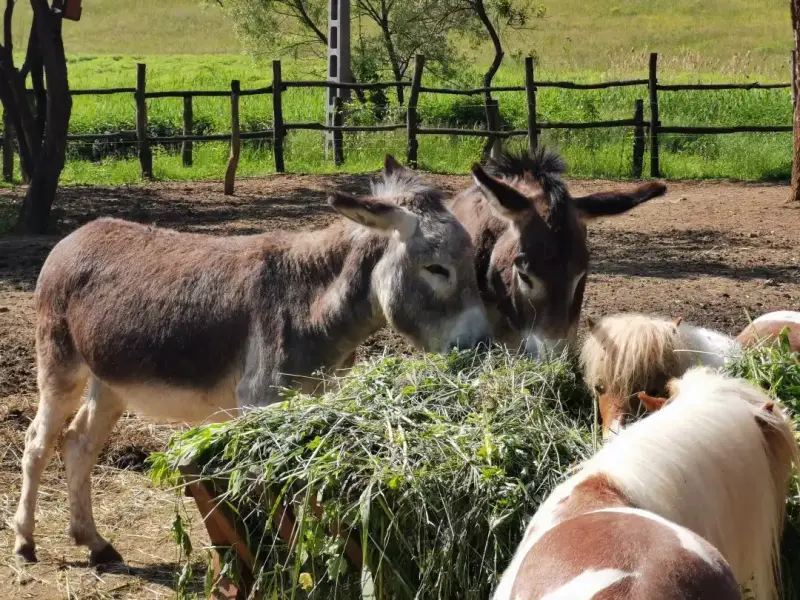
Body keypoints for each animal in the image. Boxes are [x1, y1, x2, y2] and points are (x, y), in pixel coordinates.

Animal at [12, 156, 494, 568]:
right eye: (437, 269)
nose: (481, 347)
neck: (309, 300)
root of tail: (74, 237)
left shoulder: (311, 399)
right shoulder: (260, 404)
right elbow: (266, 489)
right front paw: (271, 559)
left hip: (111, 380)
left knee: (79, 443)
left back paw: (94, 543)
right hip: (61, 366)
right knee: (38, 442)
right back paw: (25, 541)